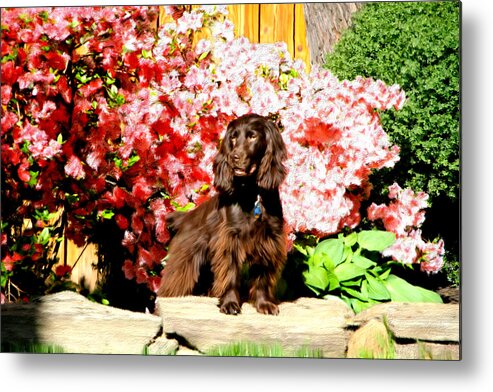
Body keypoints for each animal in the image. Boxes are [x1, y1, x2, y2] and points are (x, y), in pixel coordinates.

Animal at [158, 113, 286, 316]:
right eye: (233, 137)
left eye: (252, 136)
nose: (234, 157)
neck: (252, 193)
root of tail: (187, 217)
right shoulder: (229, 239)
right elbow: (230, 273)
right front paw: (230, 303)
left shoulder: (269, 239)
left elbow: (262, 276)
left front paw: (264, 304)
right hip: (185, 262)